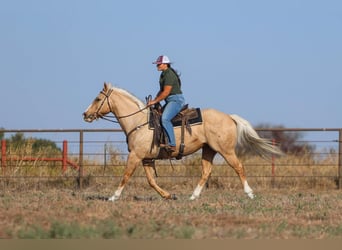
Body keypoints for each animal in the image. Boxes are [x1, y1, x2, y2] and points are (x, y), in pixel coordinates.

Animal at [83, 82, 284, 201]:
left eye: (98, 98)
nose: (85, 114)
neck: (139, 122)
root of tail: (229, 117)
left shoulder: (135, 155)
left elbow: (126, 175)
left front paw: (113, 197)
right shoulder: (147, 158)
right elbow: (151, 180)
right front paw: (168, 195)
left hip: (226, 150)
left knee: (239, 167)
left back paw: (249, 193)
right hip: (208, 150)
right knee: (206, 172)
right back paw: (193, 196)